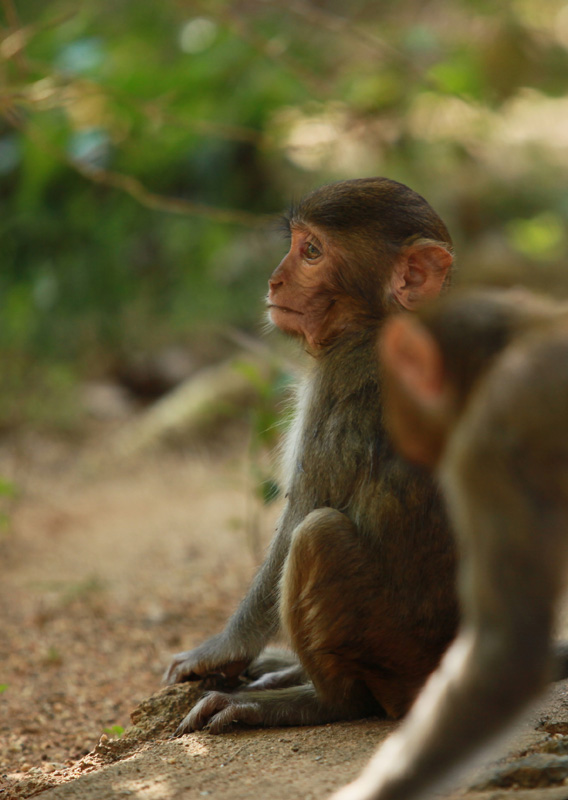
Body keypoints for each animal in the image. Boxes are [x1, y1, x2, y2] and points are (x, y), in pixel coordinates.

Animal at [164, 178, 458, 736]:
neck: (377, 321)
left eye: (313, 252)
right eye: (296, 243)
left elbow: (302, 509)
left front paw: (222, 649)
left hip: (394, 651)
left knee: (317, 533)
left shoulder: (341, 381)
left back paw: (317, 702)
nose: (275, 281)